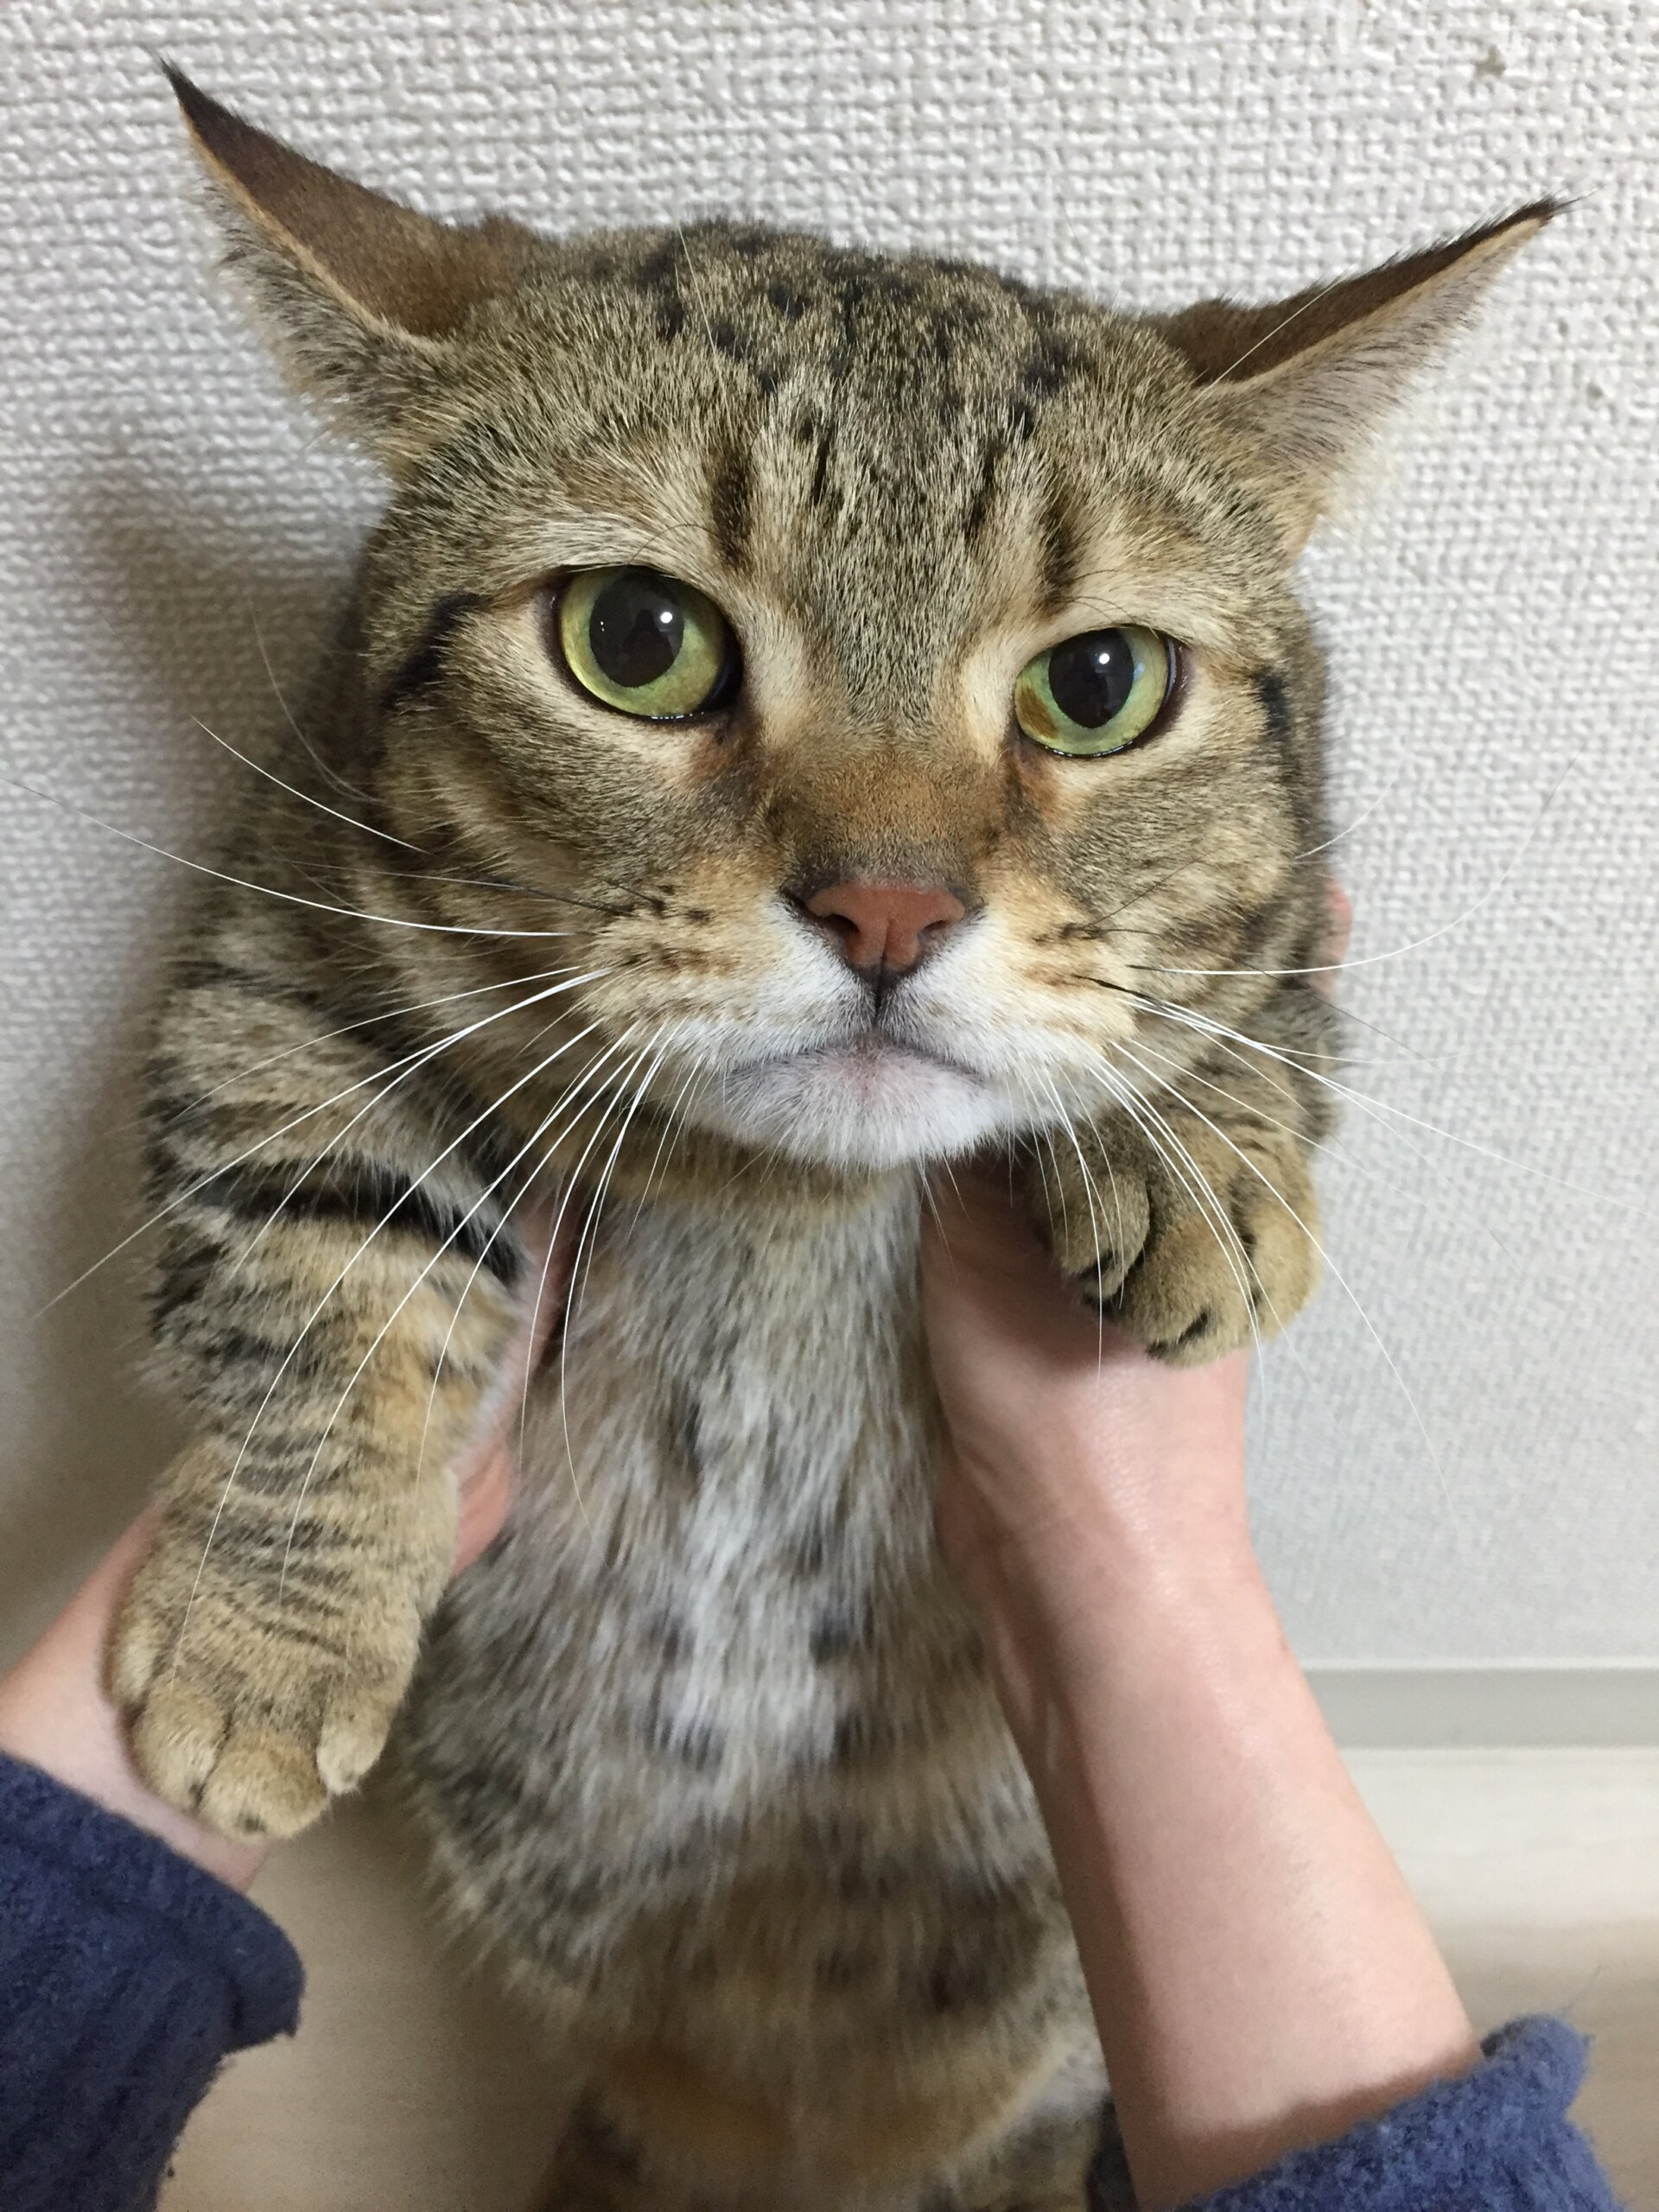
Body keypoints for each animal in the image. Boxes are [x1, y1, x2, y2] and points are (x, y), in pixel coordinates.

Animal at [110, 67, 1550, 2211]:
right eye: (637, 639)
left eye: (1098, 684)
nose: (889, 905)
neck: (780, 1201)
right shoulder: (275, 970)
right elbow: (326, 1270)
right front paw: (257, 1639)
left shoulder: (1293, 926)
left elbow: (1240, 993)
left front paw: (1191, 1156)